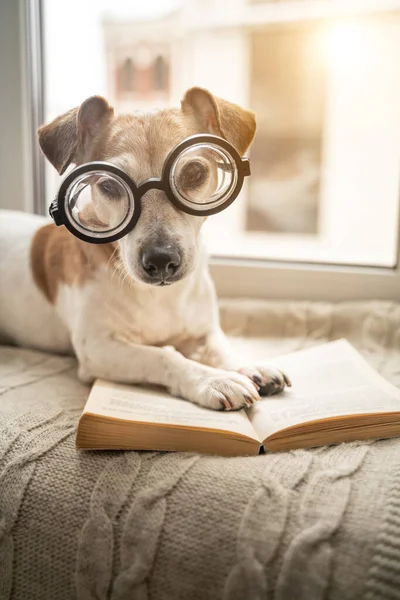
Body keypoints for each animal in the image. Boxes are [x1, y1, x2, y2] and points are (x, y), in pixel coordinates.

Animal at [0, 86, 290, 410]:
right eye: (110, 185)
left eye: (193, 172)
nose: (161, 260)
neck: (160, 297)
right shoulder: (98, 347)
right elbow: (163, 355)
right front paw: (214, 379)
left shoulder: (203, 332)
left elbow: (221, 349)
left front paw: (248, 366)